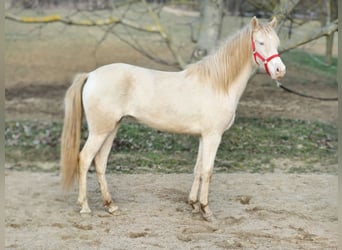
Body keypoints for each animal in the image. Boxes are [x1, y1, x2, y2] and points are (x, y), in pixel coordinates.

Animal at [60, 16, 286, 222]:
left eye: (276, 42)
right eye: (260, 42)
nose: (280, 71)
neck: (219, 84)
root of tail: (91, 75)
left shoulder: (203, 136)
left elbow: (198, 169)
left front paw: (193, 205)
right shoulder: (213, 136)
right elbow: (208, 171)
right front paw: (206, 210)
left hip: (111, 128)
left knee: (100, 162)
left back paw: (110, 205)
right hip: (100, 131)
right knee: (84, 159)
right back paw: (85, 207)